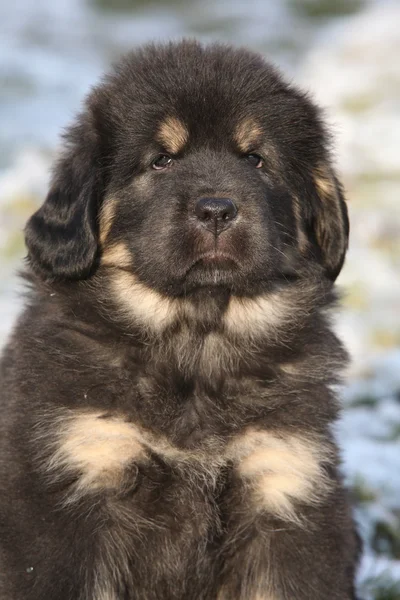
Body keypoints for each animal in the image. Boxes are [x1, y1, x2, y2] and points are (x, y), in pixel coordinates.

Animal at [0, 42, 360, 600]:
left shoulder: (284, 486)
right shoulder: (72, 490)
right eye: (162, 160)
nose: (216, 210)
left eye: (255, 159)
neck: (195, 340)